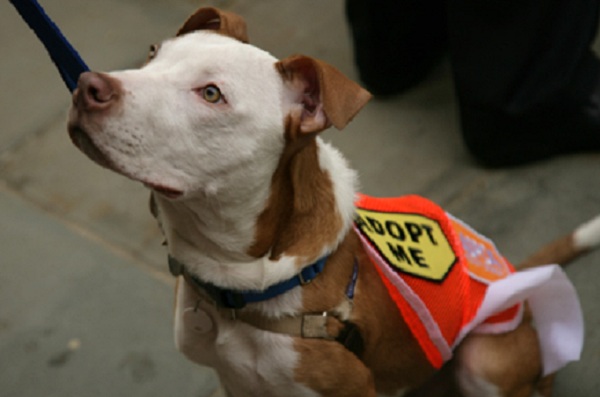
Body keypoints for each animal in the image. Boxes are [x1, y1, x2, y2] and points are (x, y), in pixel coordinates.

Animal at [68, 6, 592, 396]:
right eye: (153, 53)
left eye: (212, 94)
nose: (86, 86)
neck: (241, 284)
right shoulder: (237, 381)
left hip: (486, 360)